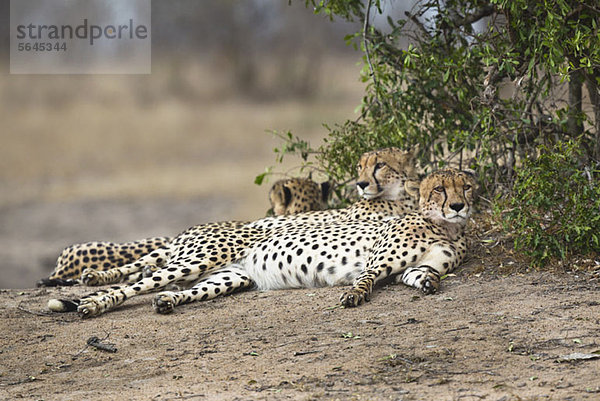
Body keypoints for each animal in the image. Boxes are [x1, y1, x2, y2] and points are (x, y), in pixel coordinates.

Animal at [49, 166, 474, 316]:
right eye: (439, 189)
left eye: (466, 186)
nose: (458, 205)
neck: (444, 227)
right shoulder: (377, 261)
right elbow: (365, 280)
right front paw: (353, 296)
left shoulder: (413, 267)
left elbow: (423, 275)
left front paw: (429, 283)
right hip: (197, 259)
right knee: (132, 285)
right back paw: (93, 304)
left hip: (228, 277)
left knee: (176, 290)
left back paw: (167, 301)